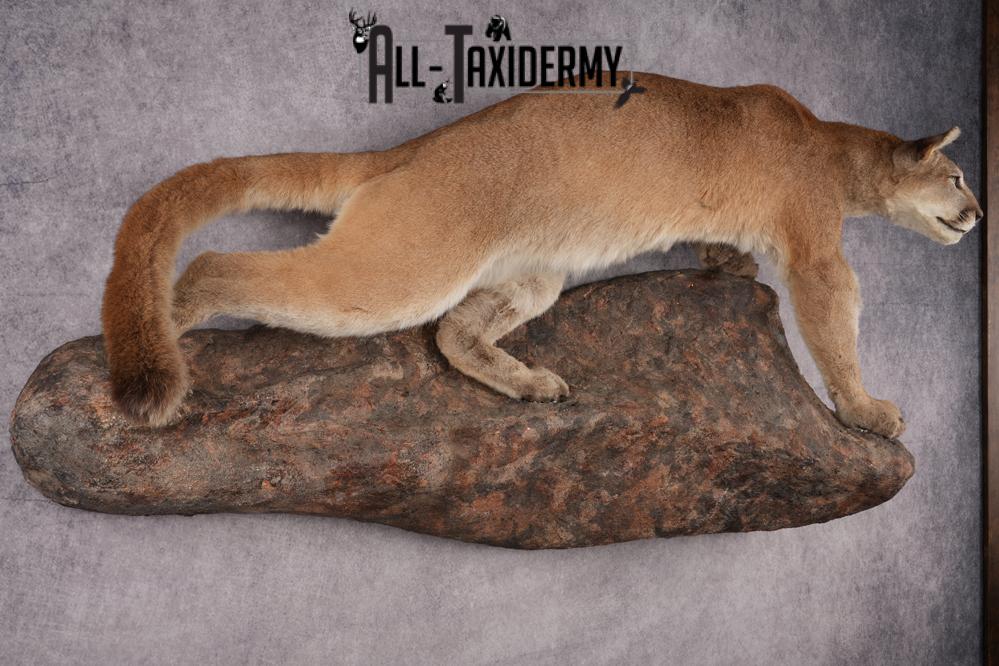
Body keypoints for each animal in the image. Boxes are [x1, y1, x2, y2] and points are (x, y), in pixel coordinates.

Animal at [101, 72, 981, 438]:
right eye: (957, 174)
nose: (978, 215)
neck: (833, 147)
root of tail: (409, 150)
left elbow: (729, 250)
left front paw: (725, 262)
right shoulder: (818, 252)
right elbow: (836, 329)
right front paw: (866, 411)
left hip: (533, 273)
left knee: (453, 334)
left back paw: (527, 382)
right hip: (399, 268)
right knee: (215, 267)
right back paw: (158, 332)